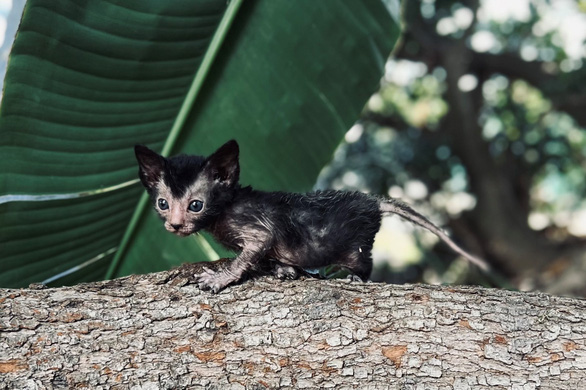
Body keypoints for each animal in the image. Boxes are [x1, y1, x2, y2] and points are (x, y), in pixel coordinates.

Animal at [135, 140, 486, 292]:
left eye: (196, 205)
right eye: (163, 203)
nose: (175, 225)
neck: (225, 211)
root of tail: (373, 201)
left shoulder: (259, 230)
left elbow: (246, 256)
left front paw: (218, 278)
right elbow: (265, 259)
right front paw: (284, 270)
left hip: (356, 244)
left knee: (365, 263)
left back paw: (352, 277)